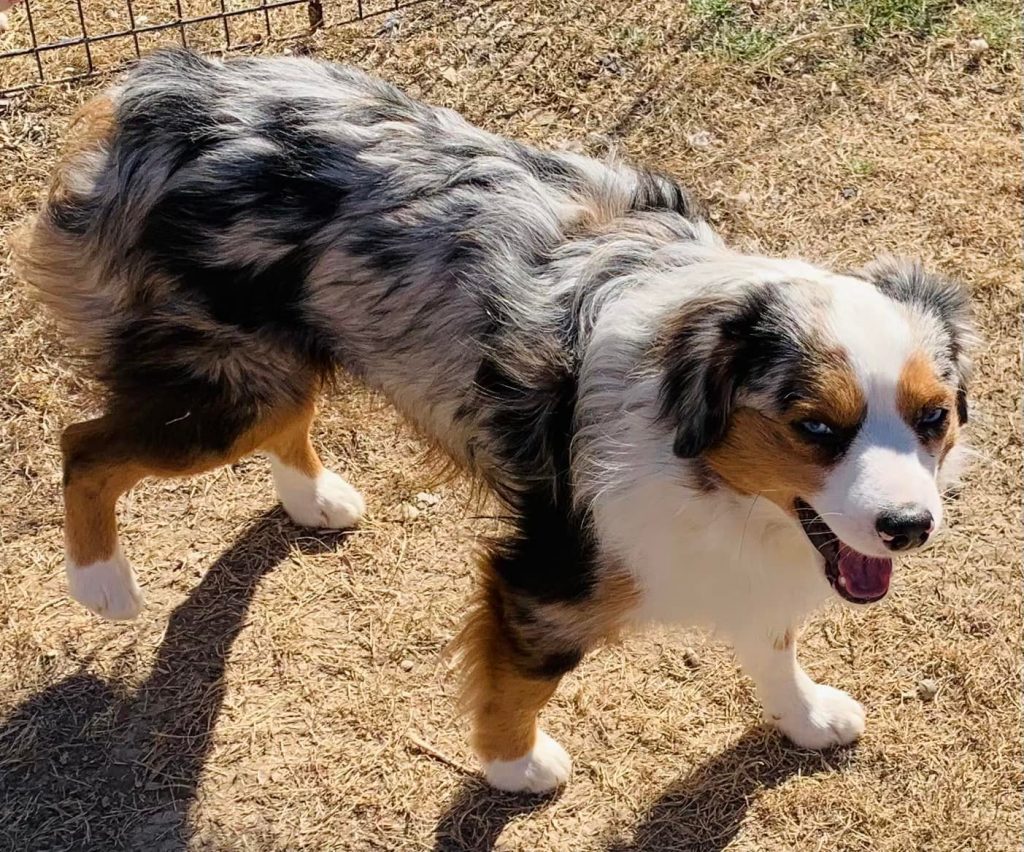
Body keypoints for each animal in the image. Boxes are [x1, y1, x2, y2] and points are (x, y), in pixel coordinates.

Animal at [14, 46, 974, 790]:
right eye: (815, 427)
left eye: (934, 418)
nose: (909, 527)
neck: (698, 453)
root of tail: (161, 92)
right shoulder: (549, 574)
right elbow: (524, 680)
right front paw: (518, 767)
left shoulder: (775, 553)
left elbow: (774, 641)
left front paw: (807, 717)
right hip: (223, 394)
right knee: (84, 445)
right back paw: (102, 585)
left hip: (273, 363)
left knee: (279, 420)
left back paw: (314, 499)